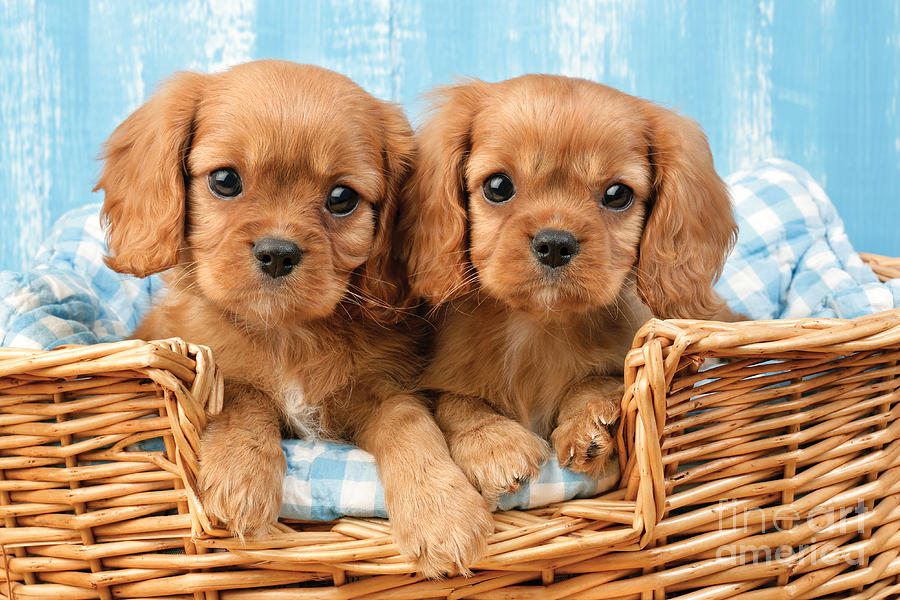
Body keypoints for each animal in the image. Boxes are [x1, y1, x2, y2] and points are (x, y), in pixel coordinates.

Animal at [96, 59, 492, 576]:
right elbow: (243, 393)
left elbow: (411, 425)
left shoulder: (383, 388)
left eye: (342, 197)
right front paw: (242, 477)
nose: (278, 253)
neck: (287, 335)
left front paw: (443, 513)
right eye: (225, 180)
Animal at [400, 77, 740, 504]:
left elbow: (602, 379)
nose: (555, 243)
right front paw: (495, 445)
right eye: (498, 186)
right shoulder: (437, 381)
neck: (539, 329)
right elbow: (455, 402)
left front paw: (586, 425)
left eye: (617, 194)